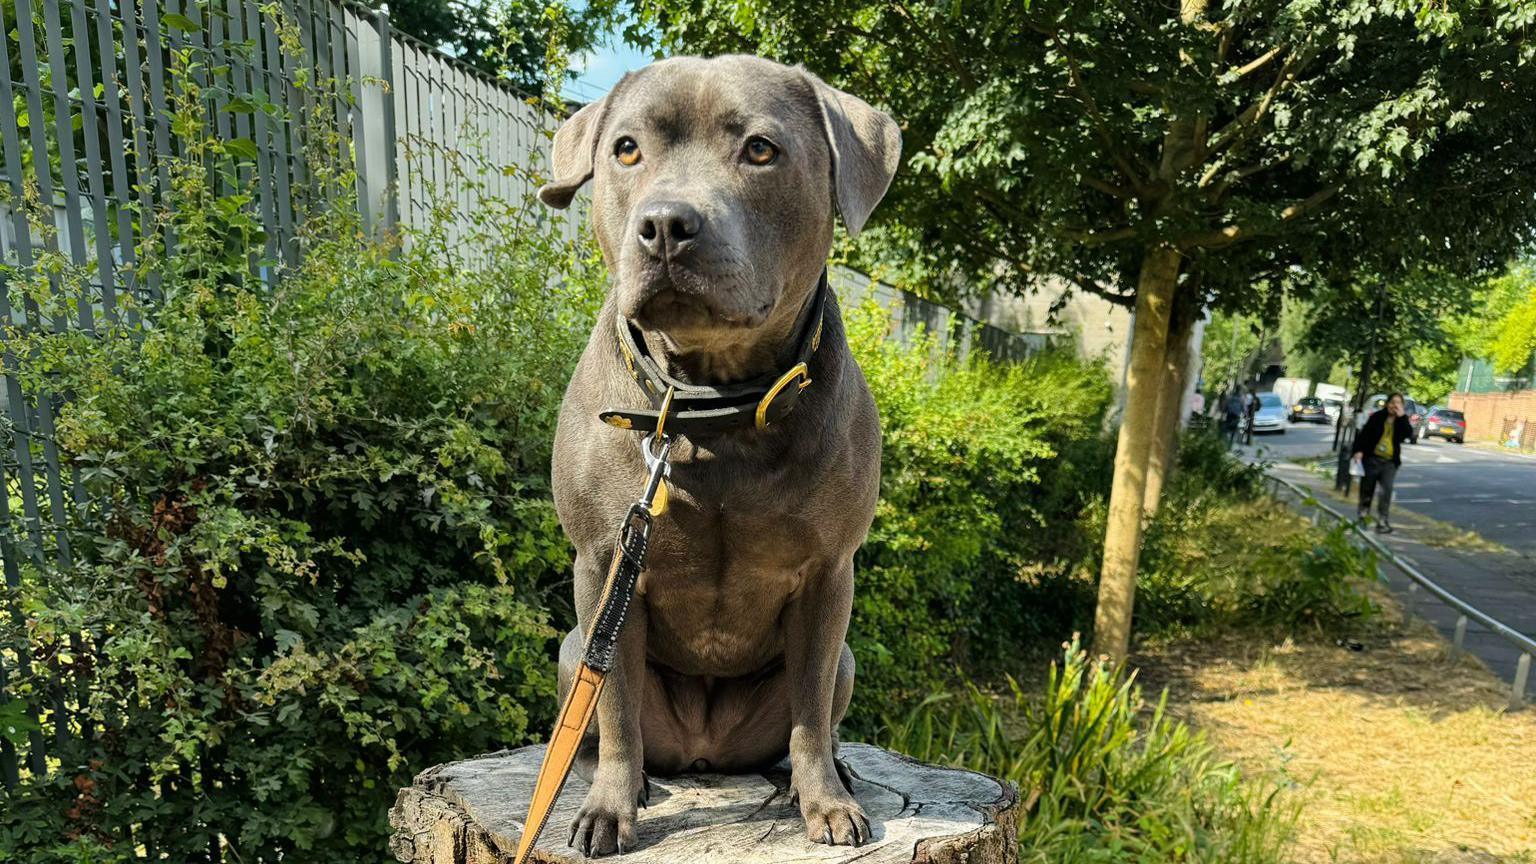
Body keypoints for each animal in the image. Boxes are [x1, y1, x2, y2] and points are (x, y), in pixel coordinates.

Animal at [540, 53, 897, 854]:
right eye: (626, 149)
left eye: (760, 149)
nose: (666, 225)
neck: (710, 403)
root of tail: (706, 751)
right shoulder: (603, 564)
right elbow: (615, 710)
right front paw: (609, 809)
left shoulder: (829, 575)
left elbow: (809, 708)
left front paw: (826, 801)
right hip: (576, 647)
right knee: (606, 720)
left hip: (846, 658)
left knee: (814, 715)